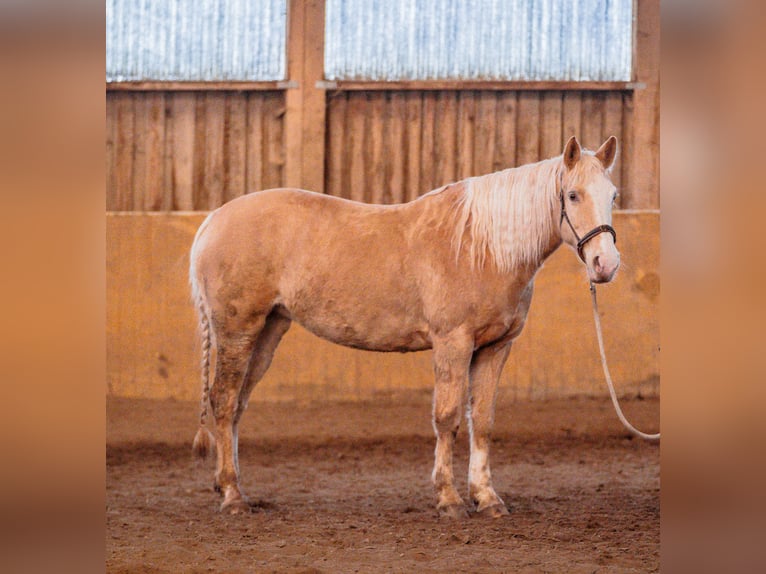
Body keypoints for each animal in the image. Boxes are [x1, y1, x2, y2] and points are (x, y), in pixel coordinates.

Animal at [190, 135, 620, 518]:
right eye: (573, 195)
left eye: (613, 195)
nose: (606, 264)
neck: (481, 246)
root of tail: (213, 220)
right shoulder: (453, 343)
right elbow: (447, 417)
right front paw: (449, 499)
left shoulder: (496, 347)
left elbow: (481, 421)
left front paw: (487, 498)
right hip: (238, 331)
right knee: (223, 401)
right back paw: (233, 496)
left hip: (268, 331)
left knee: (238, 404)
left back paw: (229, 485)